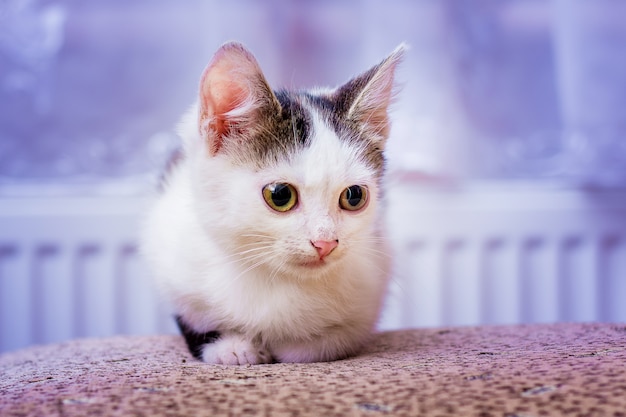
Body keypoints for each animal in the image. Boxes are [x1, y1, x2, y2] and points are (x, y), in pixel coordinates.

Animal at [140, 40, 404, 362]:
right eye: (280, 195)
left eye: (354, 196)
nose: (325, 243)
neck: (274, 278)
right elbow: (193, 320)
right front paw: (232, 348)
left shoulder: (371, 281)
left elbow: (332, 341)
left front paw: (293, 345)